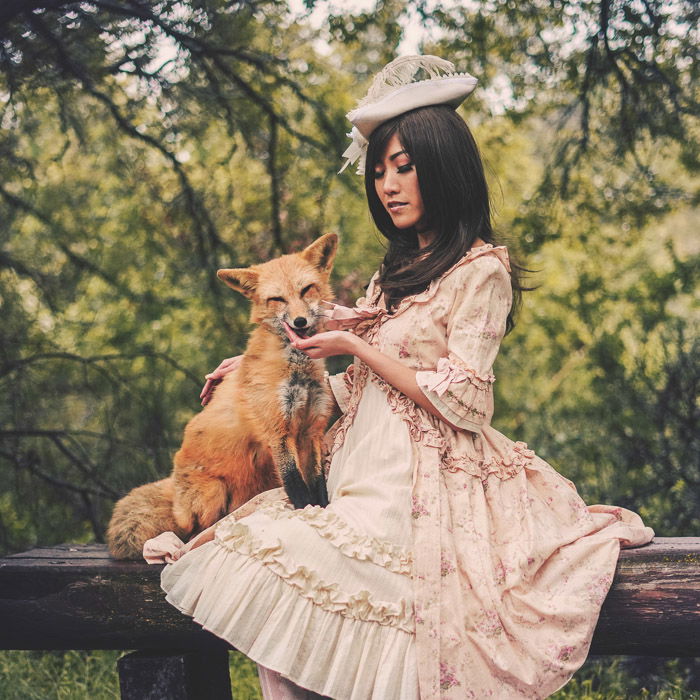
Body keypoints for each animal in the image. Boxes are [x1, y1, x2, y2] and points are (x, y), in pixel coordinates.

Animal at [106, 232, 340, 560]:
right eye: (277, 299)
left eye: (306, 289)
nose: (299, 322)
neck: (297, 371)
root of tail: (172, 486)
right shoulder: (277, 432)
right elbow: (296, 485)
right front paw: (305, 515)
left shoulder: (311, 431)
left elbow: (317, 483)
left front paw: (322, 511)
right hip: (212, 495)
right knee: (191, 528)